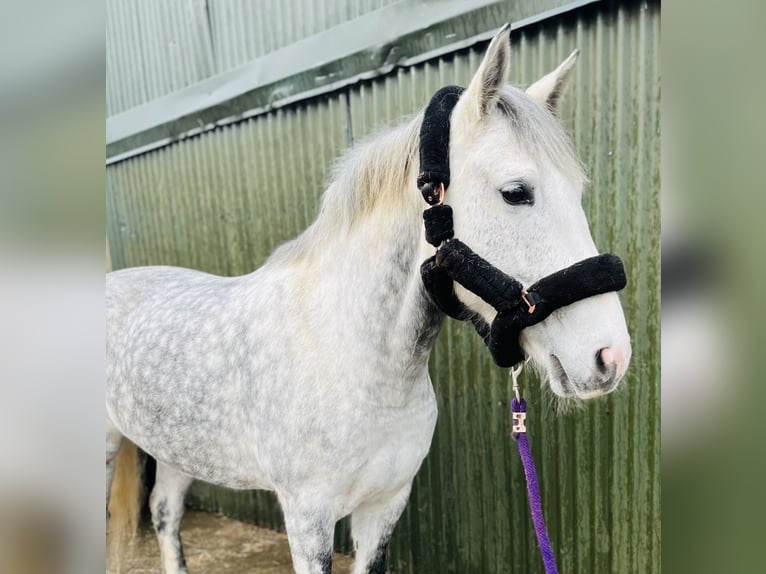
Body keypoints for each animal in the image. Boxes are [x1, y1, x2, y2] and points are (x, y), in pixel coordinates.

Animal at [106, 25, 631, 574]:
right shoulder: (308, 517)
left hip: (176, 449)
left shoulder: (384, 506)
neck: (348, 358)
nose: (610, 356)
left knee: (164, 514)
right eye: (515, 192)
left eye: (577, 191)